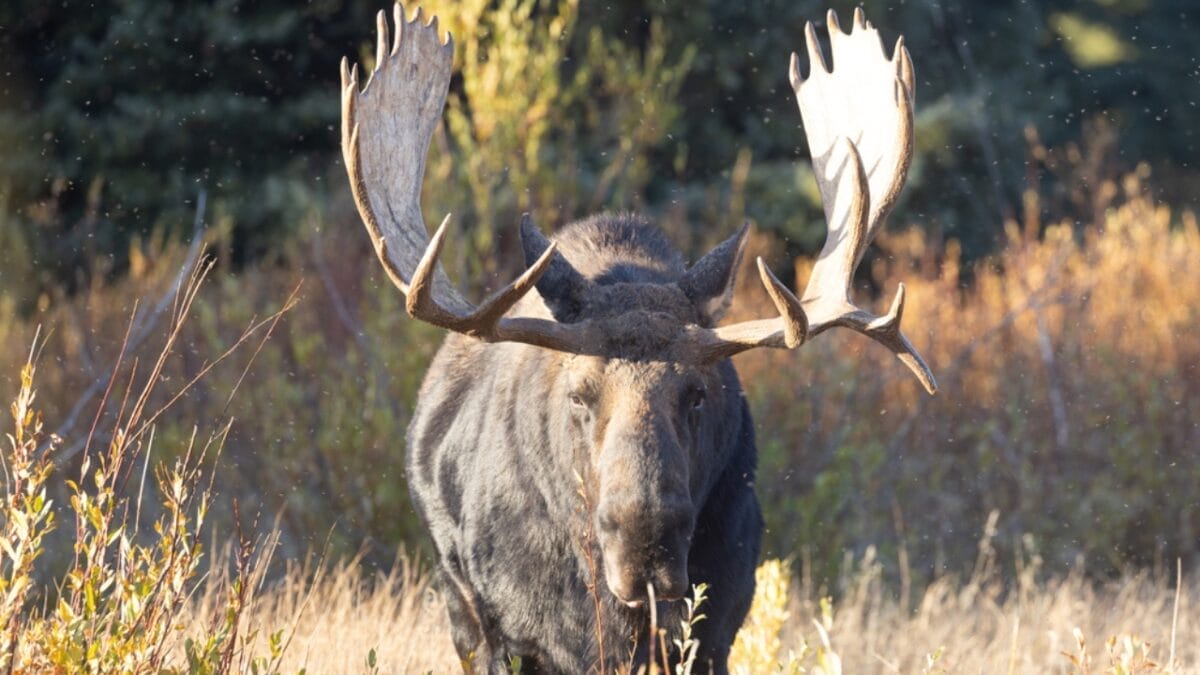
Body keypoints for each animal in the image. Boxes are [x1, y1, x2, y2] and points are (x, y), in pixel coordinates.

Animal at [339, 5, 934, 672]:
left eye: (698, 392)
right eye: (579, 394)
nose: (645, 544)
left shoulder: (720, 620)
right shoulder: (524, 635)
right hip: (458, 603)